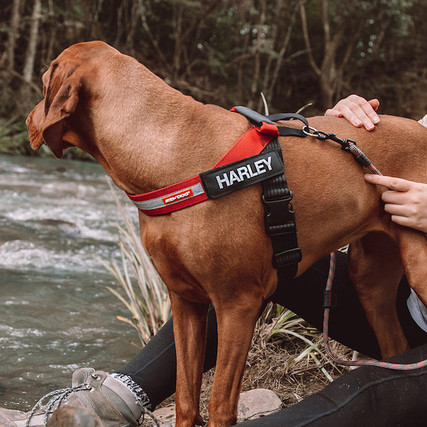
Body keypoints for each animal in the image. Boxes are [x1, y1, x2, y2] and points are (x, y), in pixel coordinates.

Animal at [27, 41, 427, 427]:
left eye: (44, 81)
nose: (29, 120)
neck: (169, 156)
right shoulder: (186, 300)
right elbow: (186, 399)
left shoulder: (238, 303)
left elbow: (219, 405)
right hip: (368, 281)